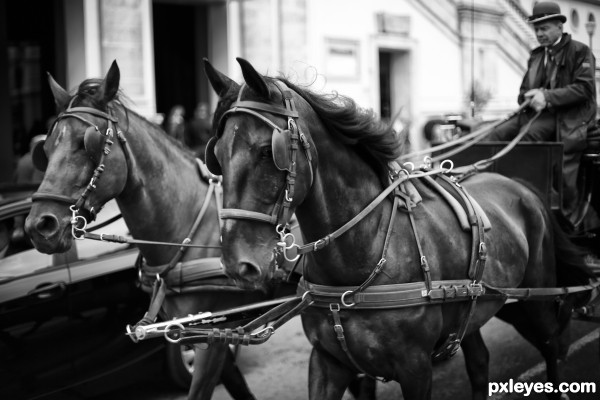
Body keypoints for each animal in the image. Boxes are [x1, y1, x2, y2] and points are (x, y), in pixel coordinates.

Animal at [26, 61, 290, 400]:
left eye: (87, 144)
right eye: (45, 148)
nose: (38, 226)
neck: (188, 229)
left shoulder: (212, 338)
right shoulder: (203, 332)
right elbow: (238, 386)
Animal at [203, 57, 596, 400]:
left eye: (267, 152)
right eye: (216, 157)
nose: (238, 264)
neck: (366, 249)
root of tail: (520, 184)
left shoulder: (416, 369)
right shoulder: (327, 362)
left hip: (536, 296)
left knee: (552, 344)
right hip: (473, 310)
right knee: (480, 361)